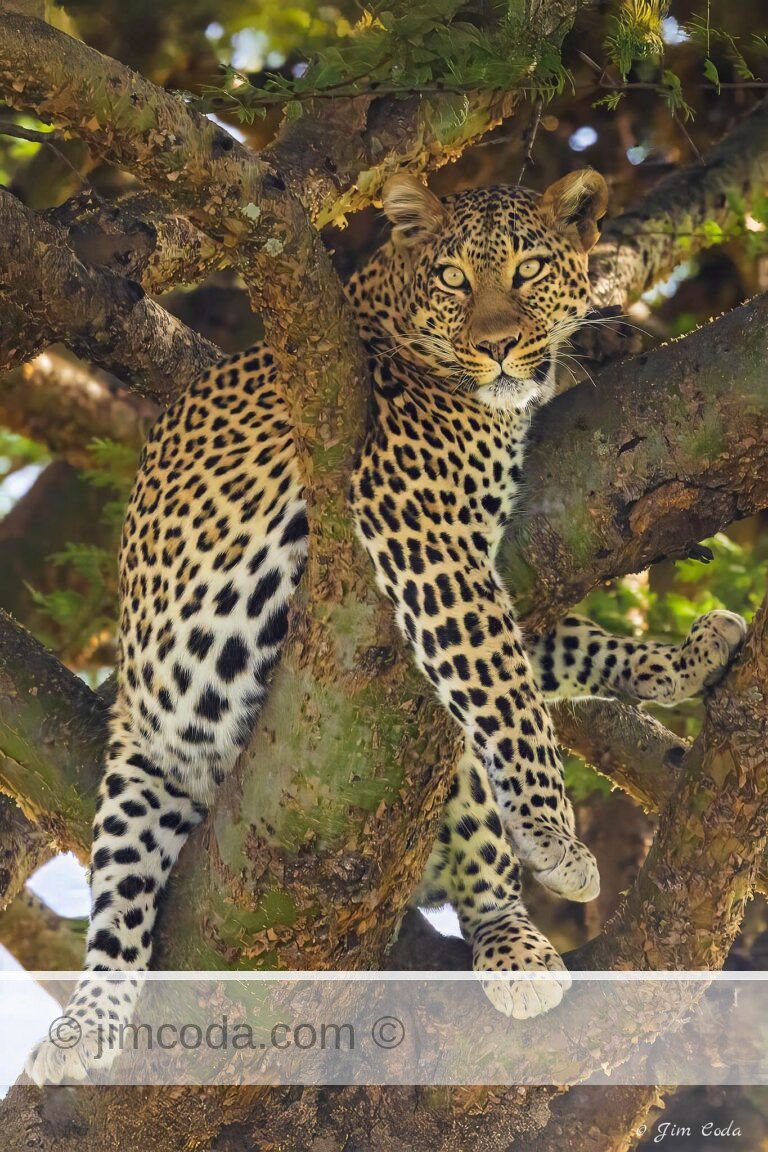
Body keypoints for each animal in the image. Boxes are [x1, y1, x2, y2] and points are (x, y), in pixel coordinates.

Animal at [27, 168, 746, 1083]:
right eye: (453, 278)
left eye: (529, 269)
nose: (500, 345)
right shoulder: (421, 529)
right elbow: (512, 695)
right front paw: (557, 838)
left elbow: (553, 651)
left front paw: (680, 661)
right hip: (144, 771)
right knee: (120, 916)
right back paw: (87, 1024)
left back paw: (511, 942)